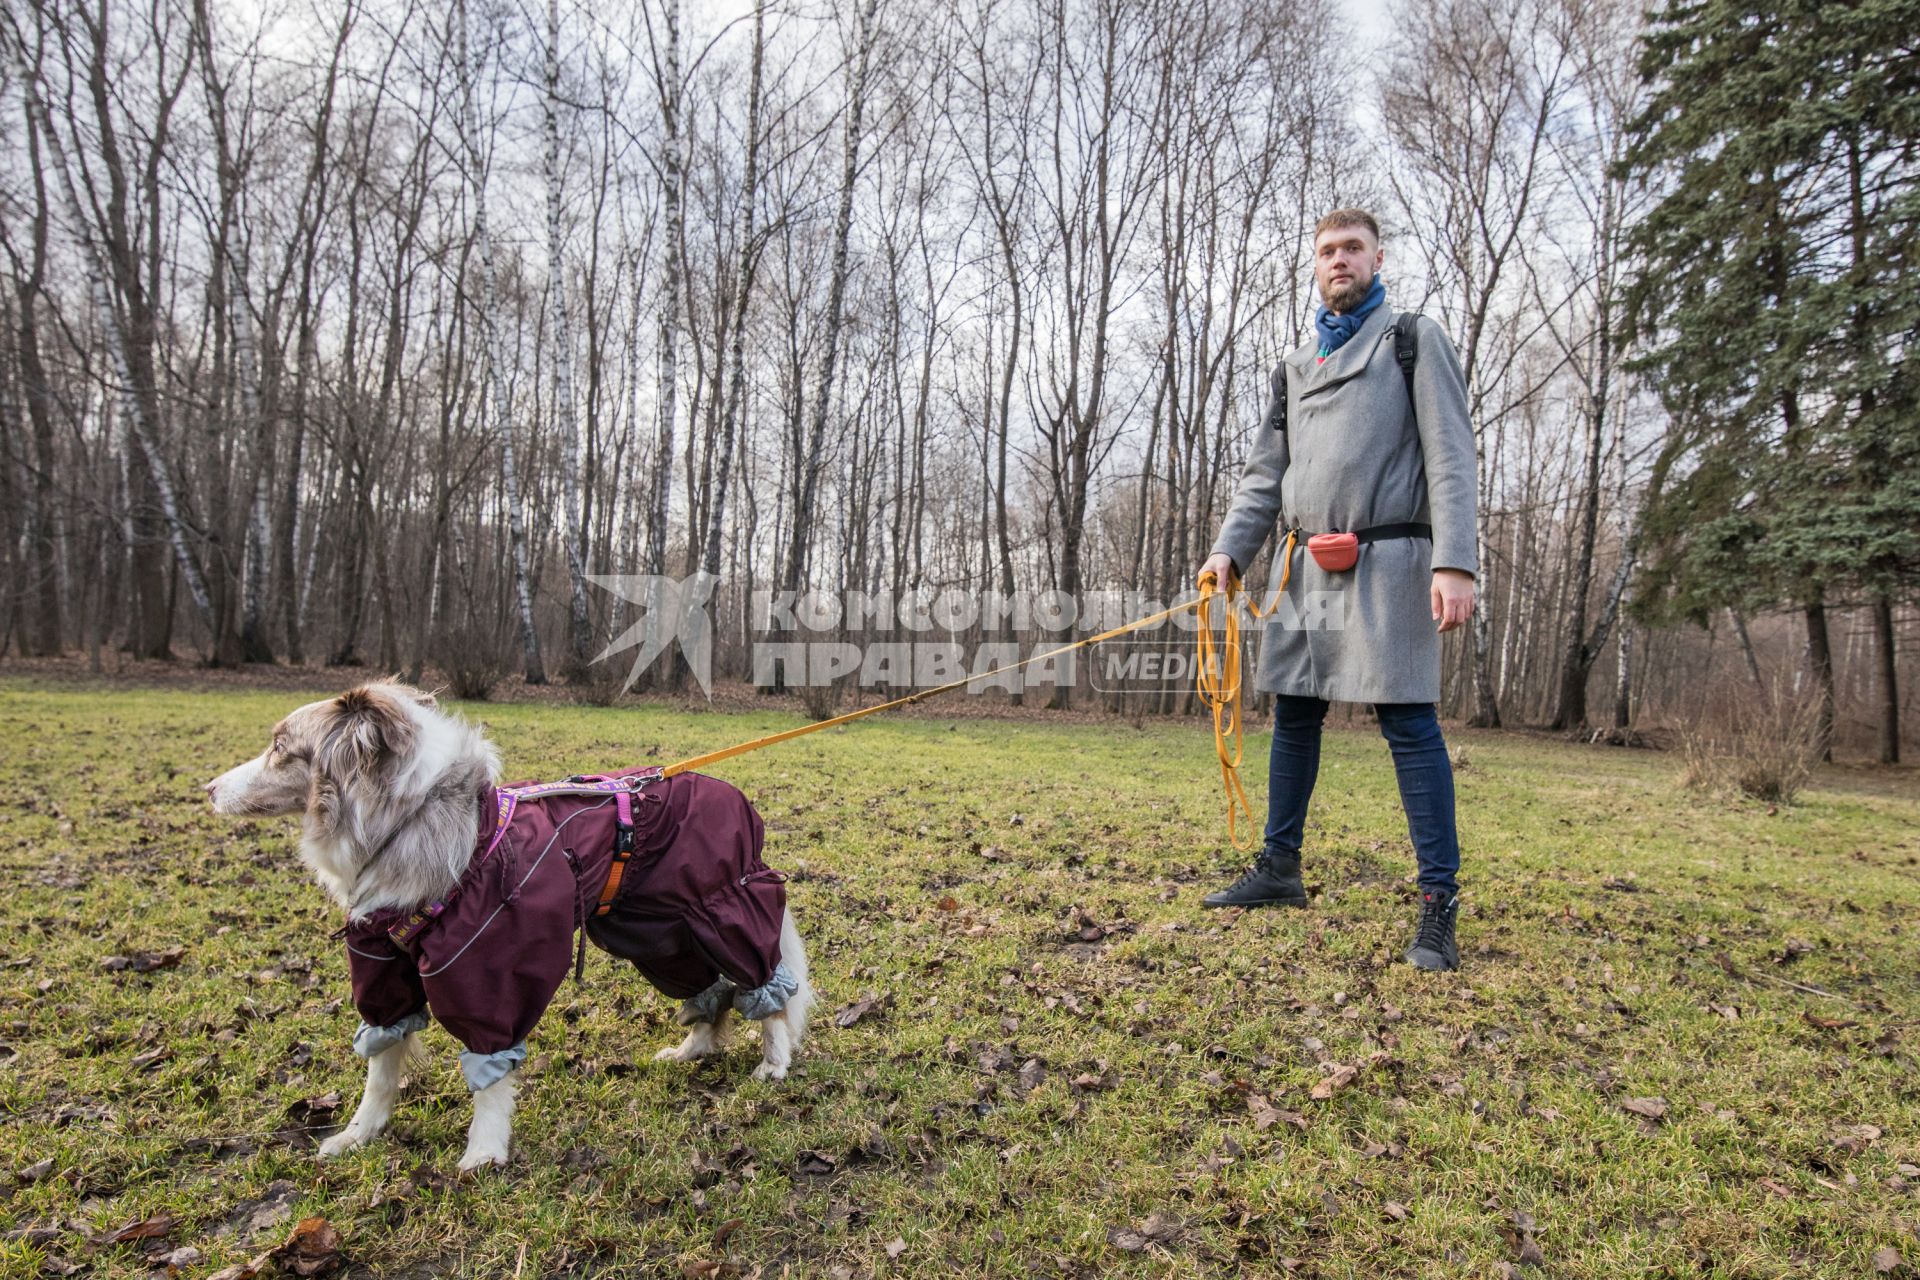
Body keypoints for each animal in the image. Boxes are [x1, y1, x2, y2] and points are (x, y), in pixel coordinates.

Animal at [204, 679, 817, 1174]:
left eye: (280, 748)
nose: (207, 789)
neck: (412, 819)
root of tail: (730, 792)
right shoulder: (381, 968)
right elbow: (380, 1066)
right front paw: (357, 1137)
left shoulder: (488, 970)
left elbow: (490, 1075)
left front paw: (484, 1154)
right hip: (658, 933)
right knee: (710, 991)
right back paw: (693, 1050)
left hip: (724, 909)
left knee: (767, 989)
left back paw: (773, 1062)